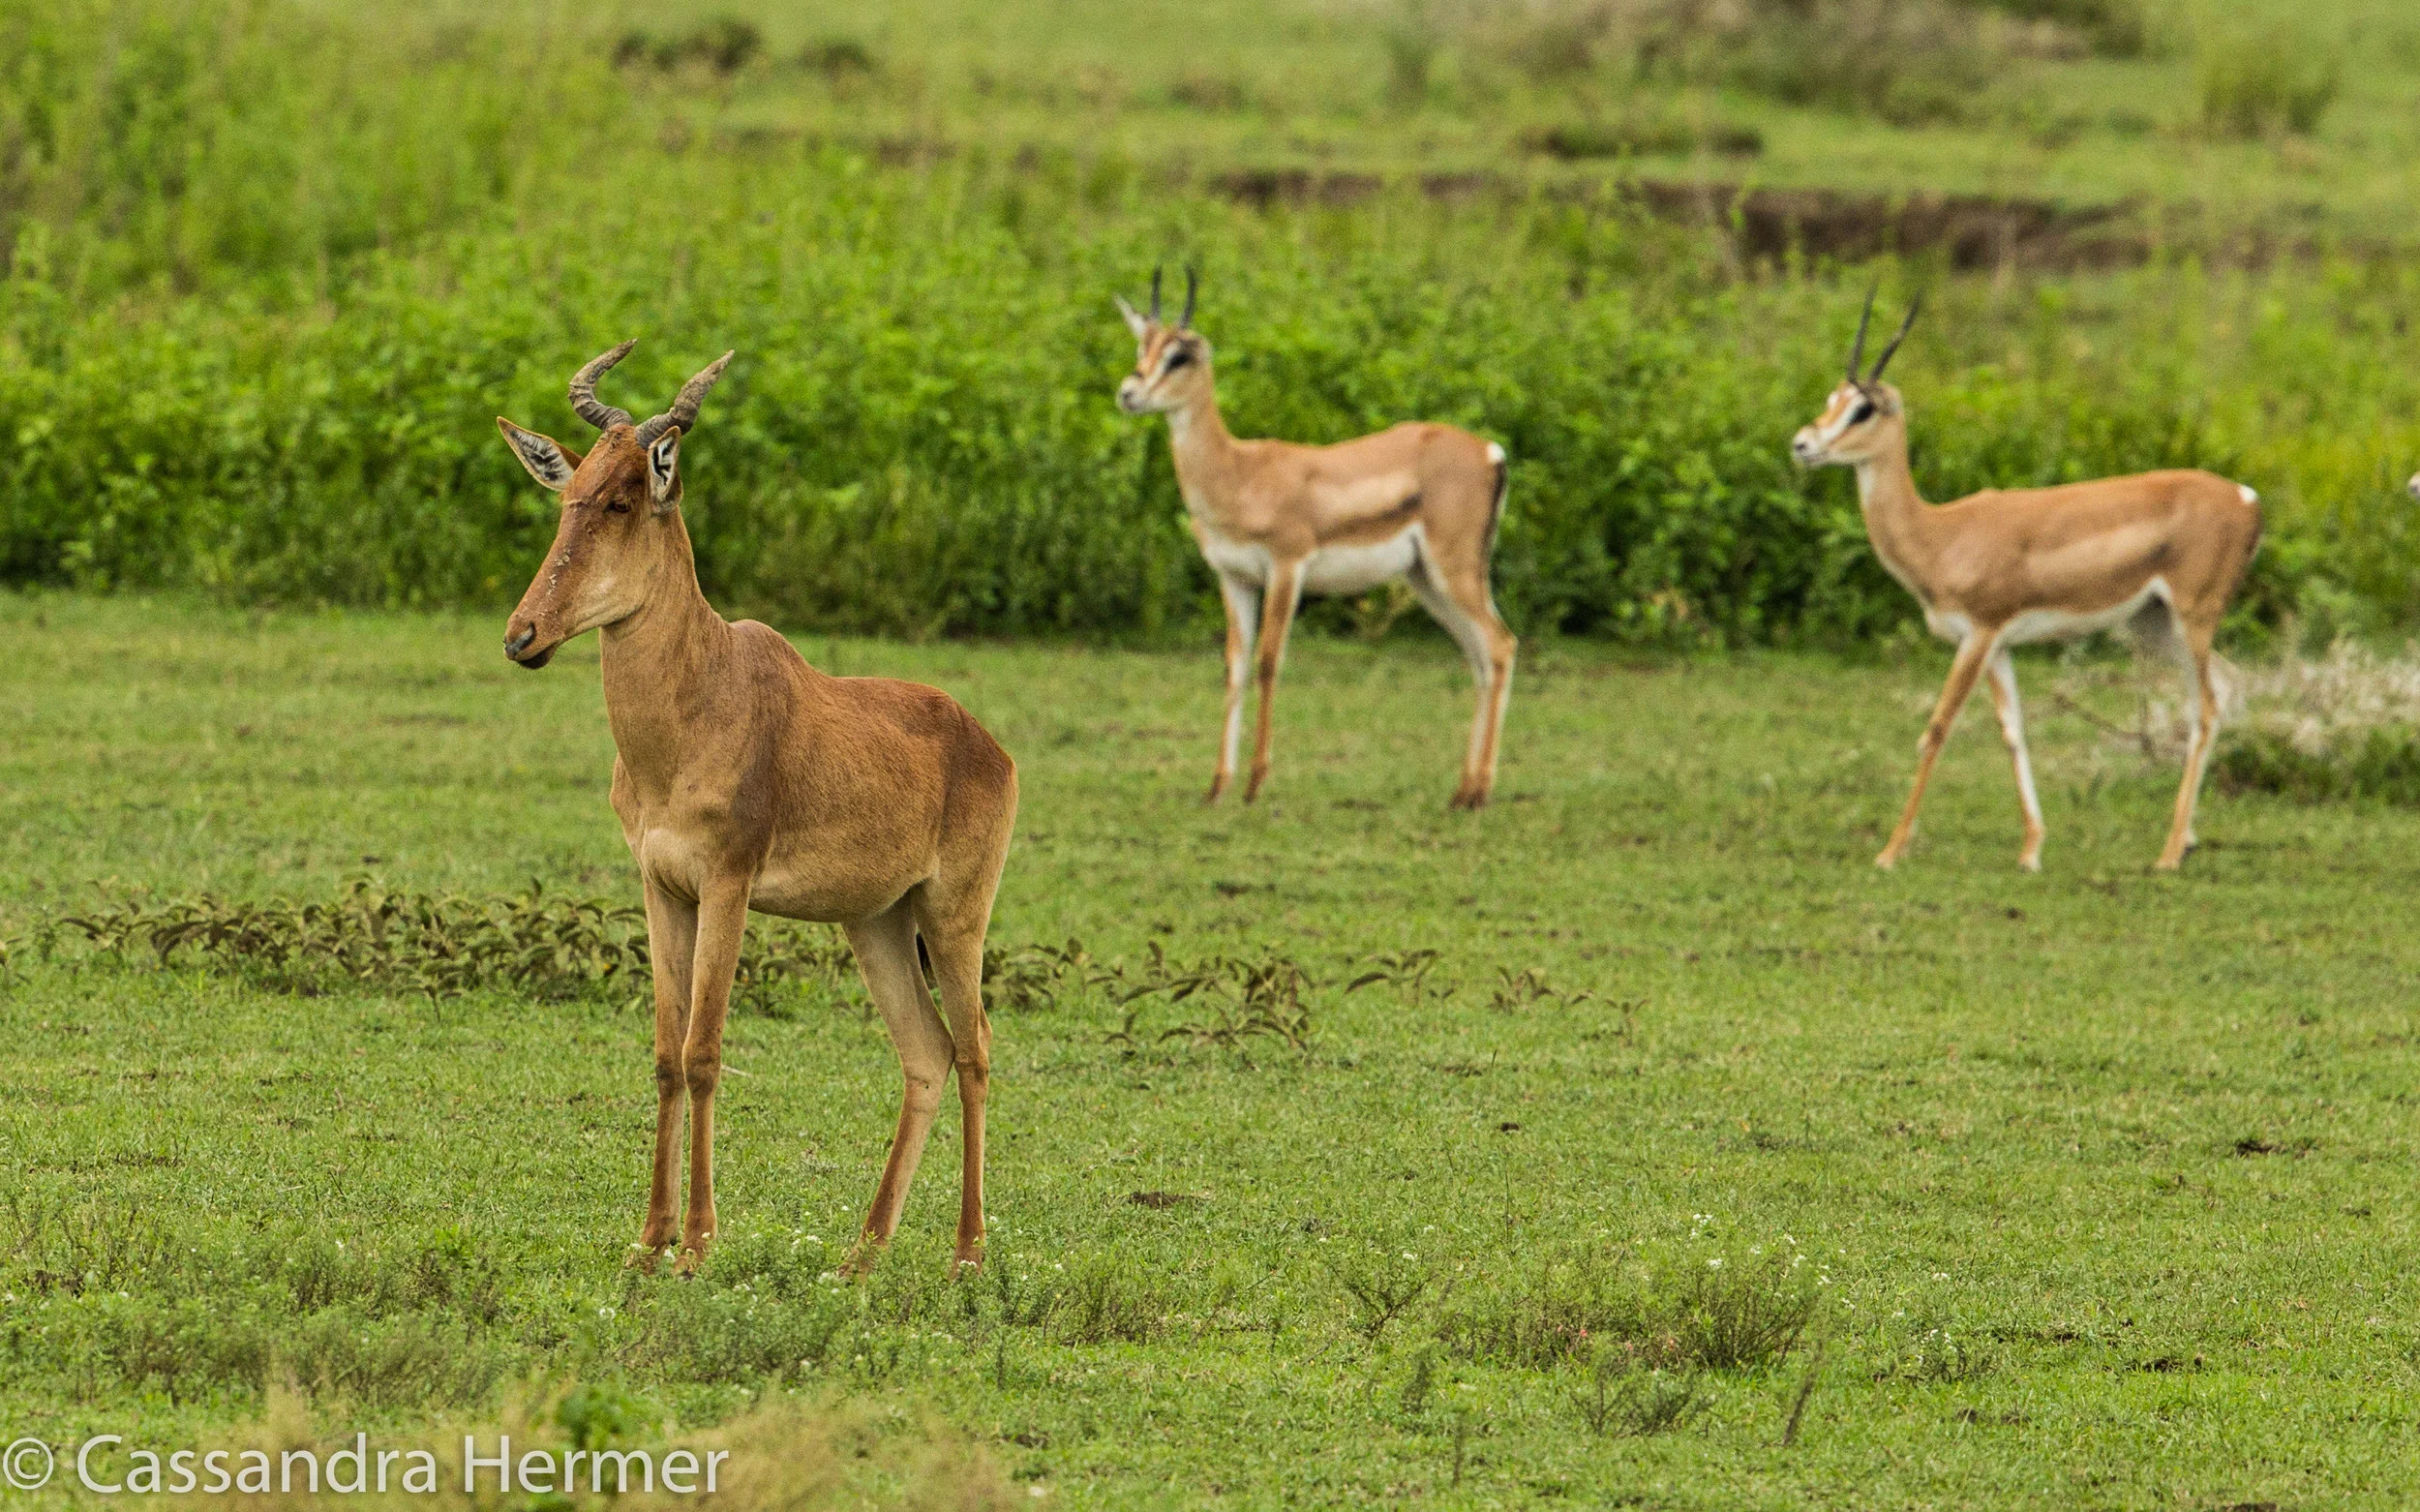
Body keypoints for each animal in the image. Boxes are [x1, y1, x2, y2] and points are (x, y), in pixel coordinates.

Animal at [497, 342, 1017, 1276]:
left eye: (626, 498)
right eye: (568, 493)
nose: (524, 636)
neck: (706, 694)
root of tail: (985, 743)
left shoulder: (729, 886)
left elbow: (705, 1051)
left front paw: (699, 1244)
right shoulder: (662, 889)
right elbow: (666, 1056)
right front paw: (649, 1242)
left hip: (955, 916)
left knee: (976, 1049)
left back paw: (966, 1252)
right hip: (877, 922)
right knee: (926, 1054)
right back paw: (860, 1256)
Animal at [1115, 269, 1517, 808]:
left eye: (1179, 355)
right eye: (1143, 345)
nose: (1128, 393)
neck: (1240, 473)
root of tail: (1490, 452)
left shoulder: (1287, 567)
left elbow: (1268, 662)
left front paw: (1255, 784)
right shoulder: (1233, 577)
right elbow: (1235, 666)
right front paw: (1217, 787)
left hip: (1453, 572)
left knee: (1501, 646)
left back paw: (1480, 794)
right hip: (1428, 580)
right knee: (1478, 657)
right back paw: (1462, 792)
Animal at [1792, 293, 2262, 873]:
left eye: (1864, 408)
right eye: (1831, 398)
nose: (1802, 444)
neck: (1940, 533)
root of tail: (2247, 498)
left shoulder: (1979, 635)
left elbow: (1937, 729)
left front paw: (1889, 852)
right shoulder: (1998, 646)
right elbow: (2013, 732)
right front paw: (2032, 850)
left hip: (2191, 618)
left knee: (2208, 708)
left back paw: (2169, 854)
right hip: (2153, 627)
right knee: (2229, 684)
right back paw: (2188, 839)